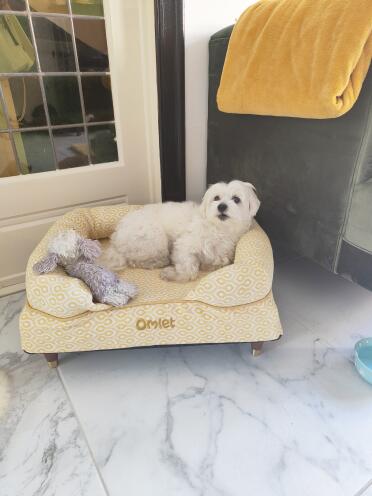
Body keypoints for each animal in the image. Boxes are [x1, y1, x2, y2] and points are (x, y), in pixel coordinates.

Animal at [100, 180, 260, 280]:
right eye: (216, 198)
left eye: (236, 199)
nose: (221, 206)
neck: (219, 229)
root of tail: (116, 239)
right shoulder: (184, 246)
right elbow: (189, 269)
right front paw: (172, 274)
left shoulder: (222, 256)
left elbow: (218, 261)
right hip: (155, 238)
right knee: (134, 260)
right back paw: (158, 262)